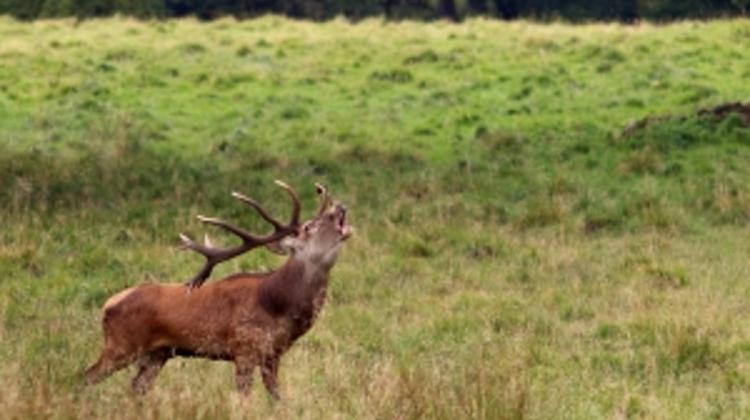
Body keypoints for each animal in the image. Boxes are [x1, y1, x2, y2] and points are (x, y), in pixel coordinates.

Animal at [84, 181, 352, 400]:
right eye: (309, 227)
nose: (340, 206)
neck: (278, 306)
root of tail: (108, 305)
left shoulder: (273, 355)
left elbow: (277, 398)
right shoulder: (244, 349)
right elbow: (245, 398)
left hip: (156, 354)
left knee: (136, 387)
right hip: (121, 345)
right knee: (86, 376)